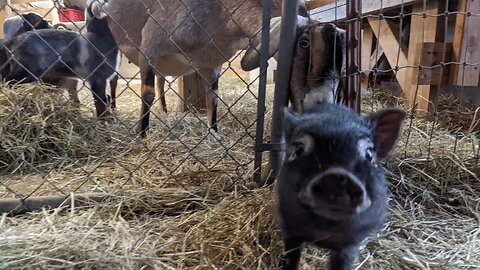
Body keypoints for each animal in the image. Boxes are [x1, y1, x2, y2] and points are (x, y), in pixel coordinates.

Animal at [278, 103, 404, 270]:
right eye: (298, 149)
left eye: (369, 155)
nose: (338, 176)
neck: (324, 234)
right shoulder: (290, 230)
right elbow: (290, 258)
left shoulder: (350, 244)